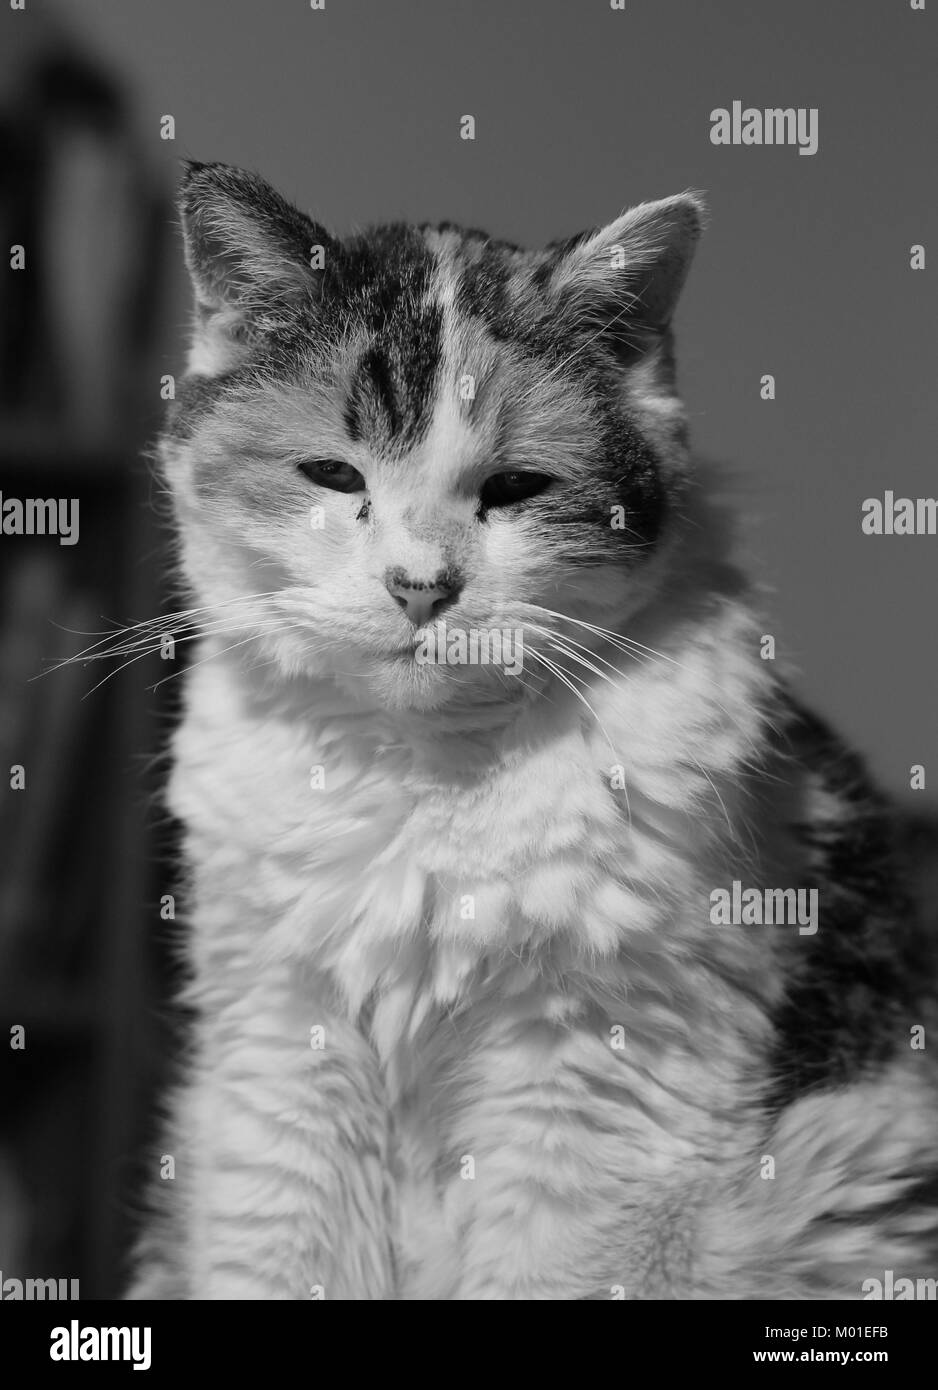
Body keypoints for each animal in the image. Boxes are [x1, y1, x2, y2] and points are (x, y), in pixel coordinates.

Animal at [126, 162, 938, 1301]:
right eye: (334, 476)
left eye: (515, 489)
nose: (420, 587)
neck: (423, 774)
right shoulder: (279, 1060)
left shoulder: (597, 1089)